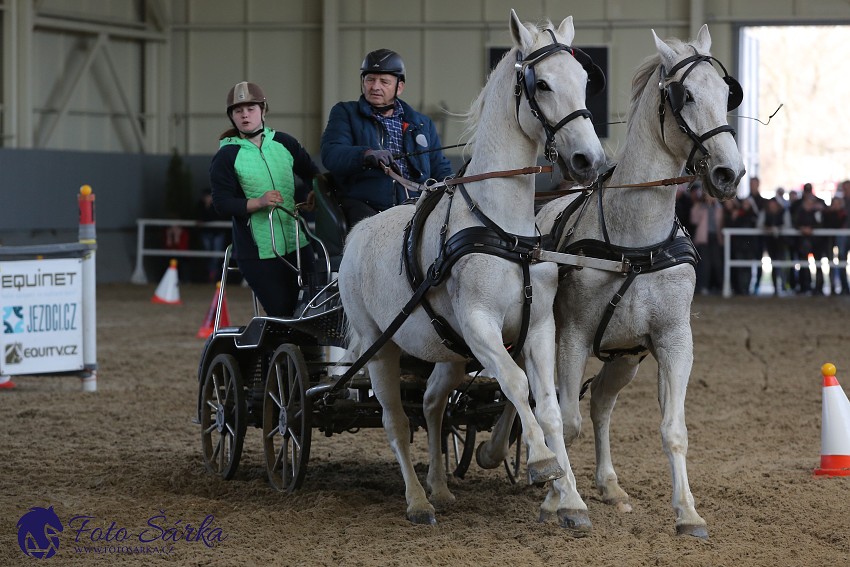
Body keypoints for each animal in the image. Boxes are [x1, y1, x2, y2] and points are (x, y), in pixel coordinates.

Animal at [334, 8, 608, 524]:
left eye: (583, 80)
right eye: (542, 84)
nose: (591, 160)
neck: (504, 229)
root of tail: (357, 234)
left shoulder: (537, 327)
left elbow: (548, 405)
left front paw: (572, 500)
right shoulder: (481, 325)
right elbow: (517, 384)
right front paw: (542, 464)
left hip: (450, 352)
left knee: (432, 404)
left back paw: (440, 488)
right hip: (380, 348)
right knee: (396, 420)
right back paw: (418, 501)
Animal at [476, 26, 744, 540]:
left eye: (727, 95)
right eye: (686, 95)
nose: (730, 172)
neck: (634, 242)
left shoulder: (674, 339)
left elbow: (673, 429)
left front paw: (688, 513)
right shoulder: (572, 337)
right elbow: (565, 420)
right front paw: (557, 498)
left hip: (625, 356)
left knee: (600, 403)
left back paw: (610, 486)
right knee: (526, 393)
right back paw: (502, 453)